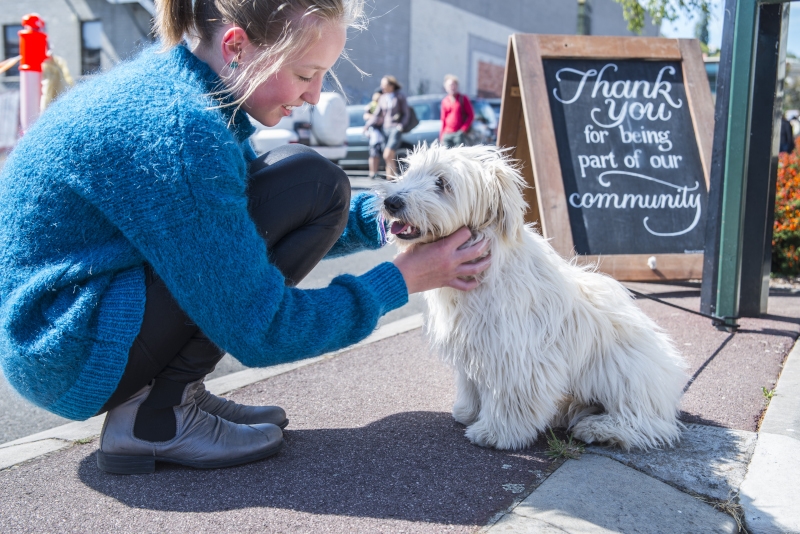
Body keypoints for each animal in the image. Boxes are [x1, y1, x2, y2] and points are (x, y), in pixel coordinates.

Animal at [382, 143, 688, 452]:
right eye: (410, 172)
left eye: (441, 183)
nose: (391, 201)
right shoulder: (473, 340)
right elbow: (471, 381)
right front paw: (468, 411)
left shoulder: (516, 350)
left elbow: (511, 393)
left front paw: (496, 432)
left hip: (624, 372)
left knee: (648, 422)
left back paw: (602, 428)